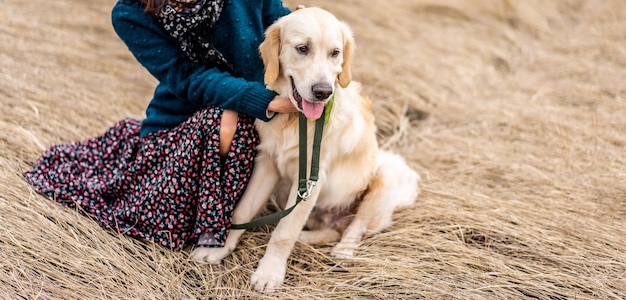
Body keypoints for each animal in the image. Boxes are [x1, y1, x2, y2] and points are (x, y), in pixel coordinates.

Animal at [190, 7, 420, 292]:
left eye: (335, 53)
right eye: (302, 48)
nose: (323, 92)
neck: (295, 120)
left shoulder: (312, 178)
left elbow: (284, 232)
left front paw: (269, 273)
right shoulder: (268, 163)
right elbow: (244, 210)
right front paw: (219, 249)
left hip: (385, 172)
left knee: (354, 228)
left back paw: (343, 250)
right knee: (331, 230)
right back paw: (307, 238)